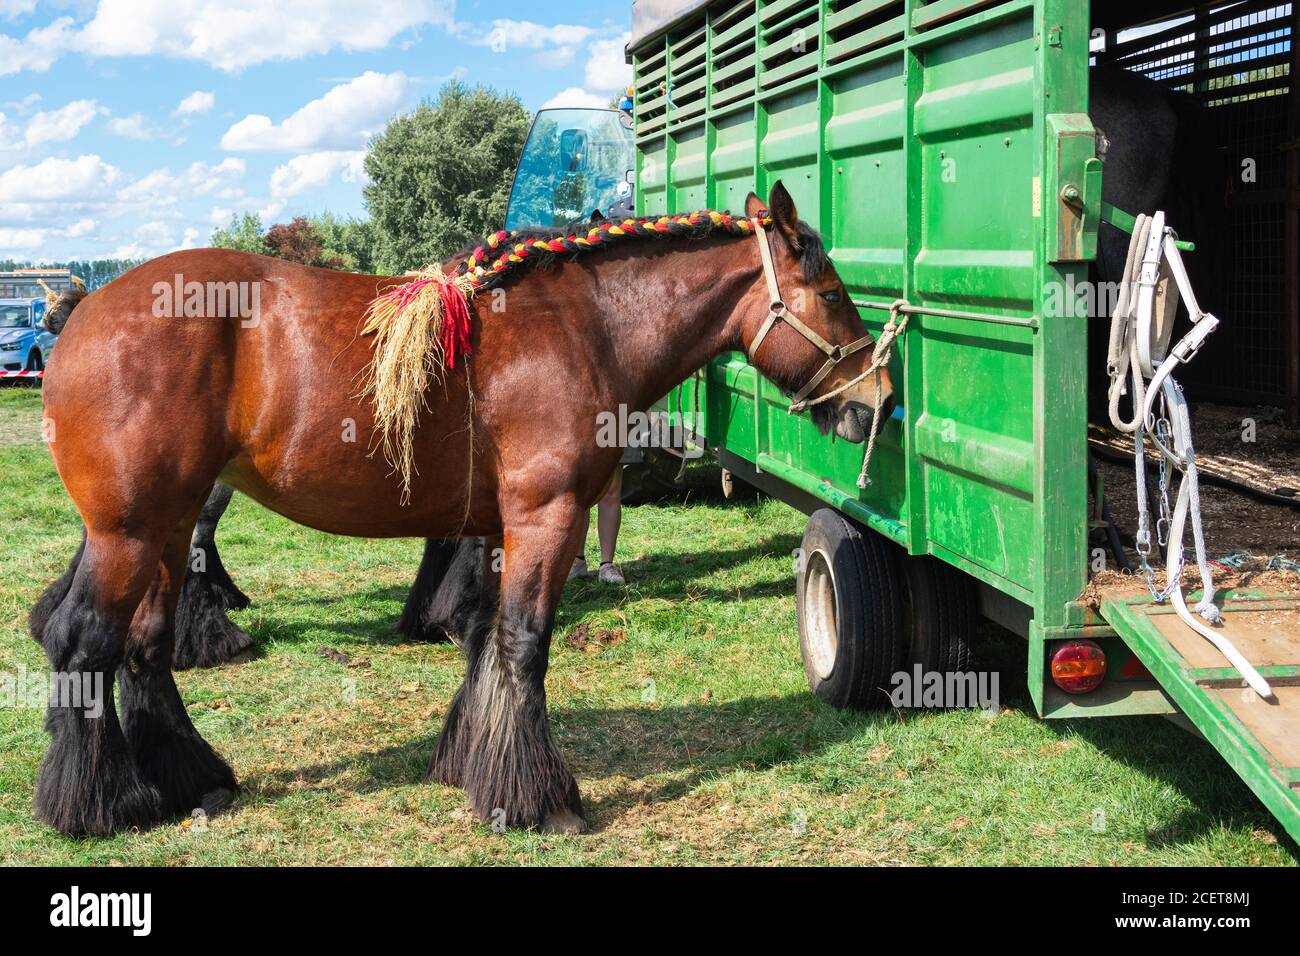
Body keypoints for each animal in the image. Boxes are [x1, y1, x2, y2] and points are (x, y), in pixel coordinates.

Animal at [31, 183, 894, 836]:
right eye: (830, 294)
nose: (879, 399)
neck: (584, 325)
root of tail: (85, 314)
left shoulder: (495, 526)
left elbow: (482, 636)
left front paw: (469, 765)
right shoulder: (549, 516)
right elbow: (524, 645)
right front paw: (541, 800)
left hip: (167, 527)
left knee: (145, 647)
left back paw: (189, 777)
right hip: (129, 530)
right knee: (83, 642)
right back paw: (96, 805)